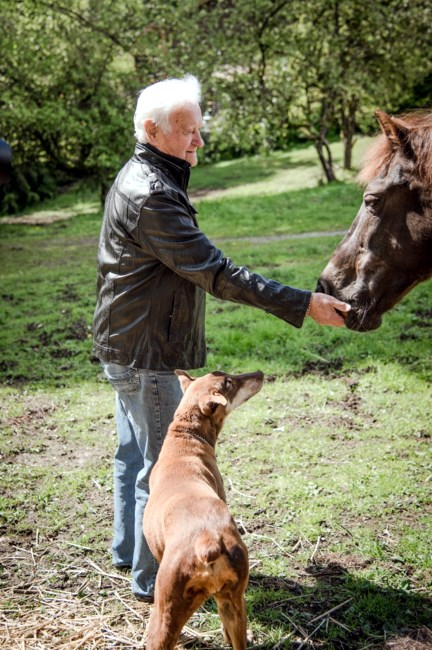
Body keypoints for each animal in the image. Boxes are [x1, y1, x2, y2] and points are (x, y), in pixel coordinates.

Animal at [143, 370, 264, 648]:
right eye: (229, 382)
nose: (260, 373)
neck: (185, 437)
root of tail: (208, 542)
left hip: (168, 608)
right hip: (233, 600)